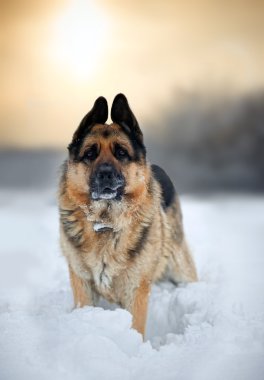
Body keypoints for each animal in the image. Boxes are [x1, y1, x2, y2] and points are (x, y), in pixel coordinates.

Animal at [58, 94, 197, 336]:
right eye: (90, 153)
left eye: (121, 153)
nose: (105, 174)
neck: (105, 221)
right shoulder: (82, 283)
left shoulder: (136, 290)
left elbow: (136, 328)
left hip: (179, 266)